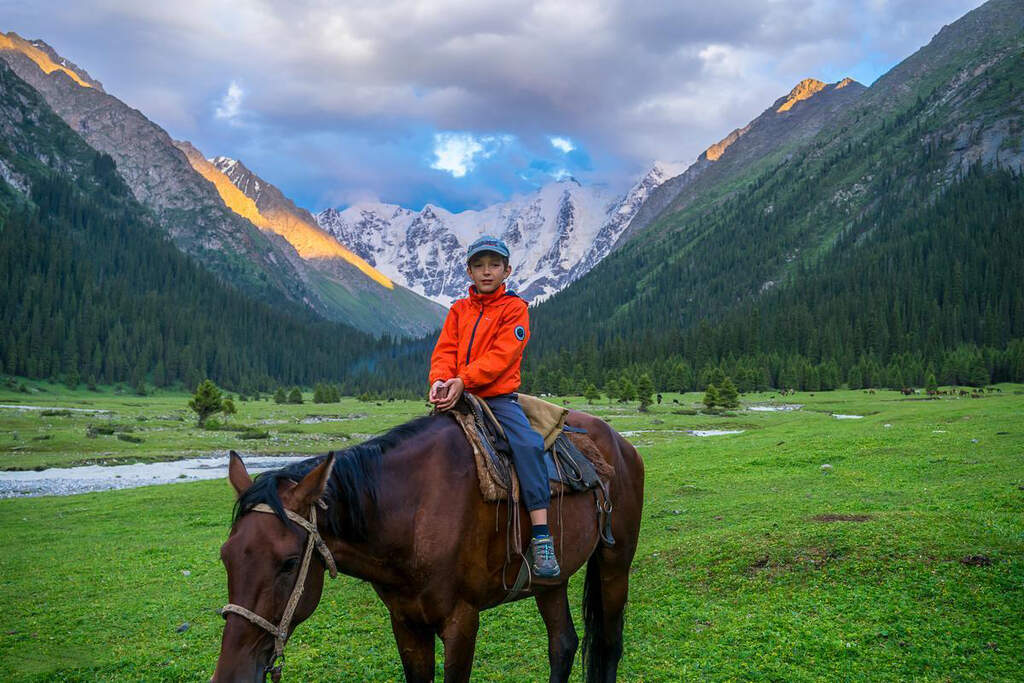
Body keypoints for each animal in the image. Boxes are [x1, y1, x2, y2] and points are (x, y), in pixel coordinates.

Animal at [211, 411, 643, 683]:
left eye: (288, 563)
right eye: (225, 557)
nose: (230, 676)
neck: (412, 512)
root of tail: (621, 444)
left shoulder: (461, 620)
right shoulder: (405, 622)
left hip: (615, 563)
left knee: (609, 643)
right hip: (549, 581)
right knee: (563, 644)